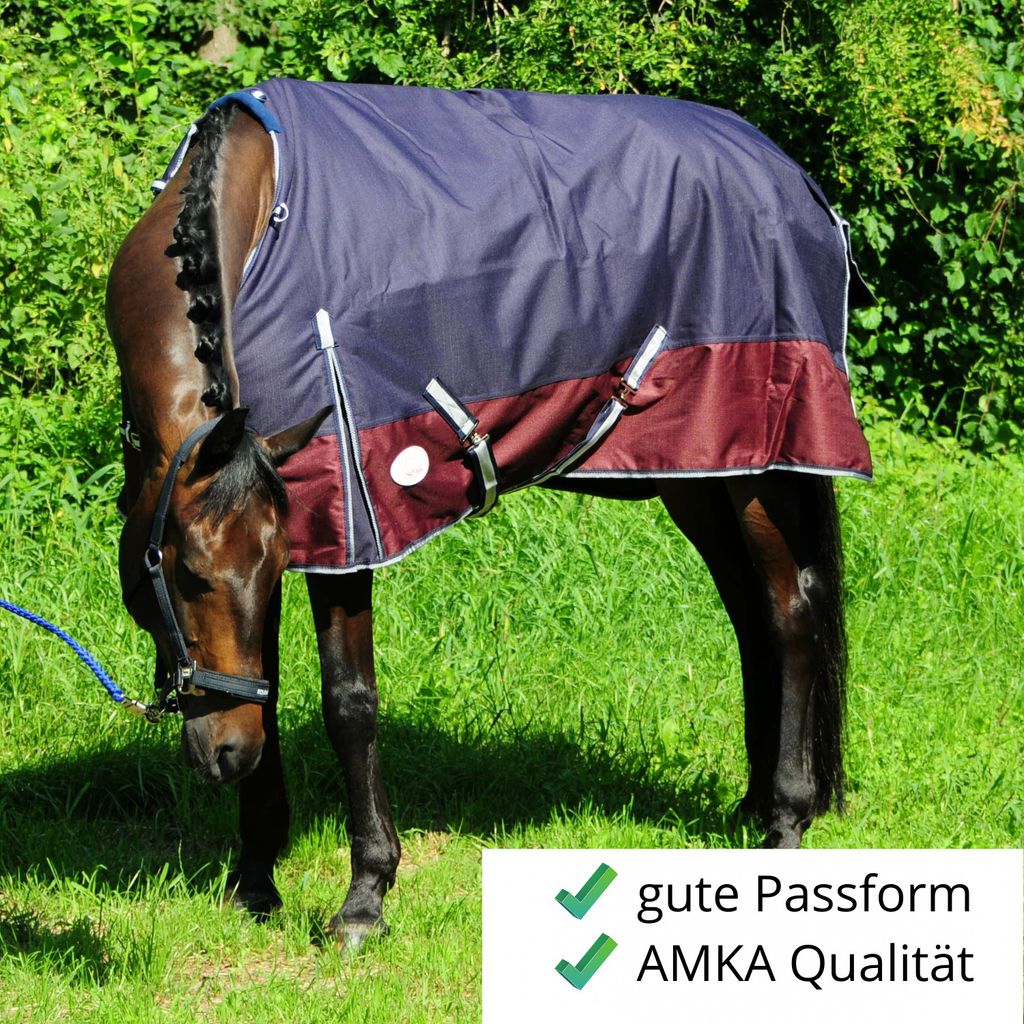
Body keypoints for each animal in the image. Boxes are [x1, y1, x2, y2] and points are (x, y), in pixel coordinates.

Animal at [107, 80, 872, 949]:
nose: (229, 753)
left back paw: (786, 821)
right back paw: (750, 805)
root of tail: (792, 178)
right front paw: (255, 879)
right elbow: (266, 676)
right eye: (190, 575)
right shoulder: (287, 506)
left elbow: (349, 703)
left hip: (761, 467)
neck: (265, 218)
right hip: (702, 470)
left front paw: (364, 899)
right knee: (751, 617)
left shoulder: (350, 514)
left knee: (790, 614)